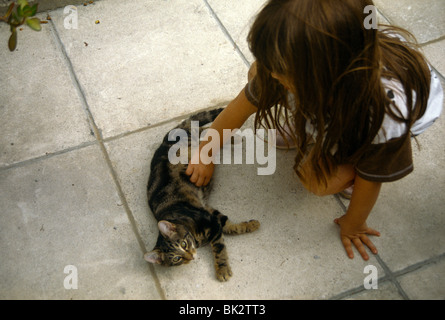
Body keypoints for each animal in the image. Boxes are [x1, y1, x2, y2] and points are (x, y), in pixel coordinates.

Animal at [142, 109, 260, 282]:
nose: (191, 256)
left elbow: (219, 248)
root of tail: (167, 137)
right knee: (206, 132)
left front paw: (222, 269)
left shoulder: (211, 222)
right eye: (177, 258)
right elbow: (229, 226)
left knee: (208, 131)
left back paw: (233, 138)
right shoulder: (209, 212)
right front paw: (248, 225)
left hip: (191, 138)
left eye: (183, 244)